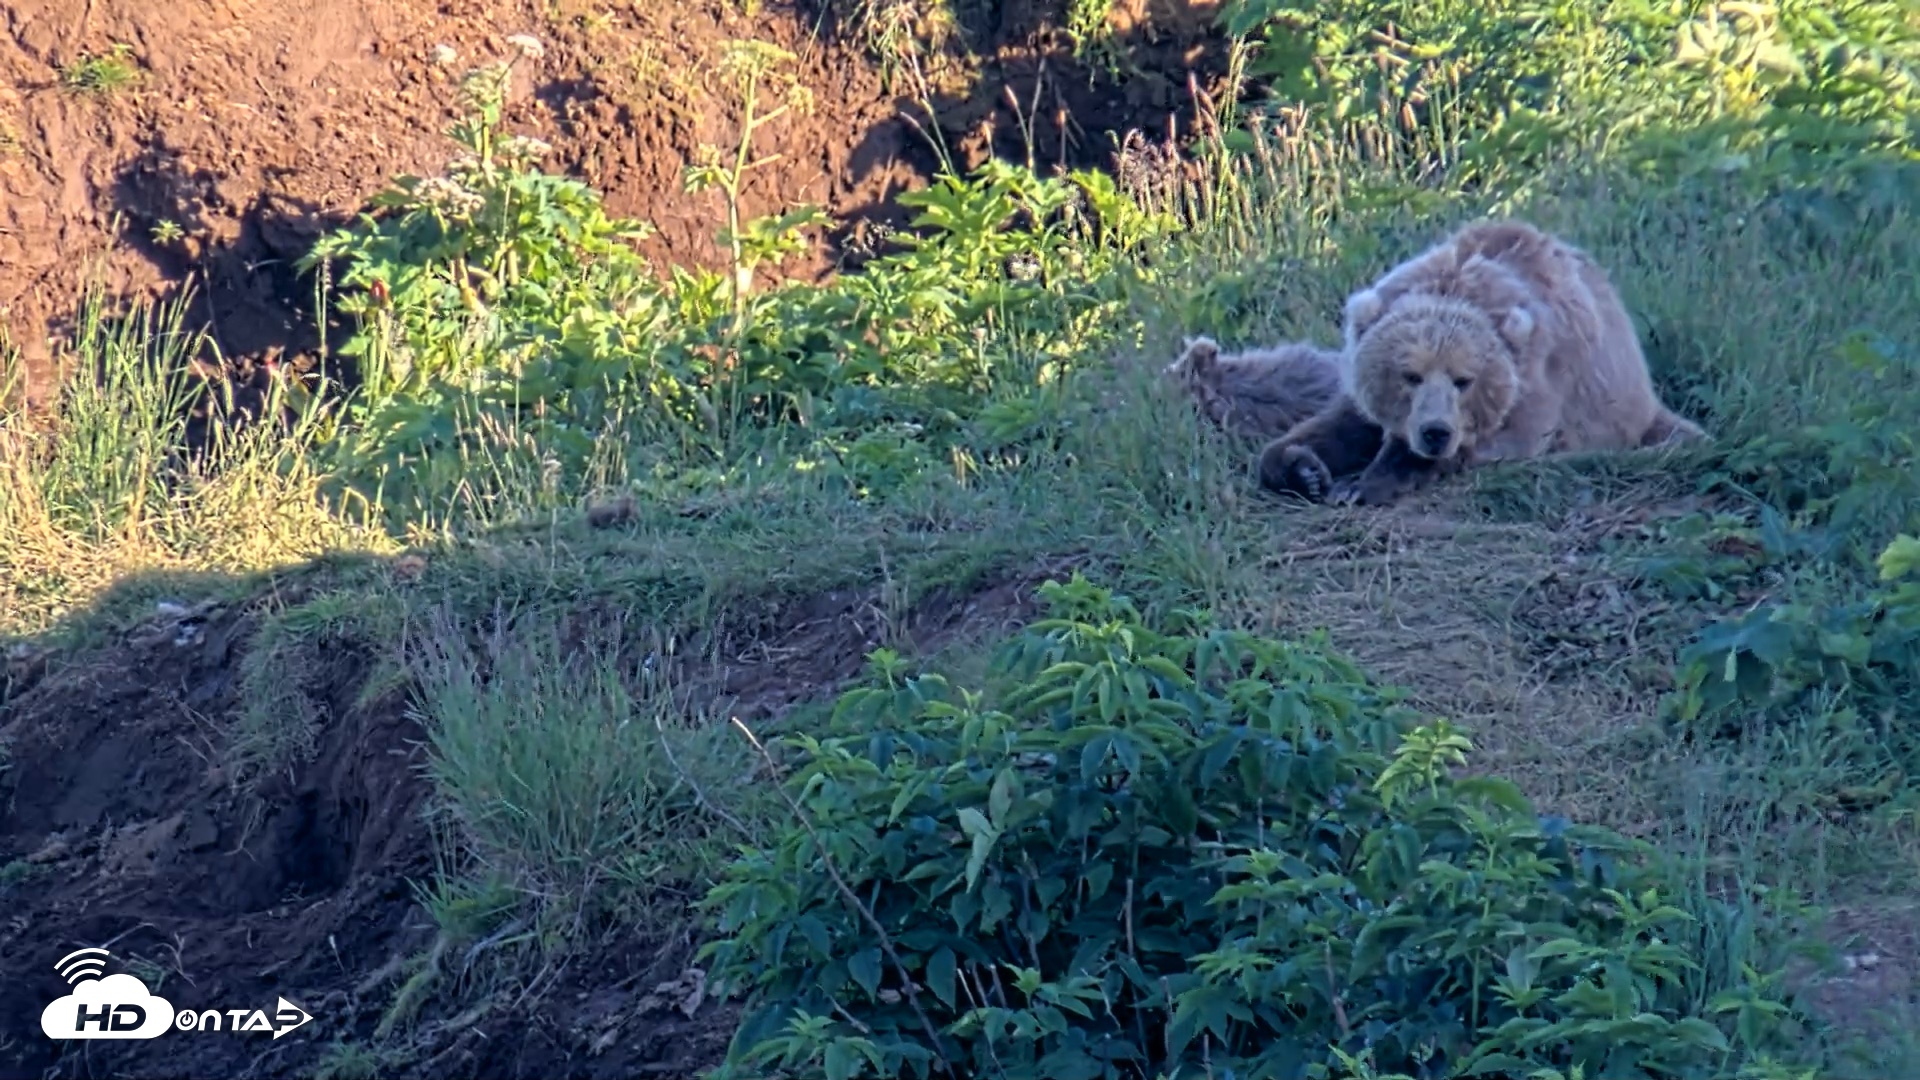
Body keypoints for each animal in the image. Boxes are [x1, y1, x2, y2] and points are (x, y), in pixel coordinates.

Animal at [1257, 219, 1705, 507]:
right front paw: (1306, 470)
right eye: (1410, 376)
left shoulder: (1535, 388)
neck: (1457, 286)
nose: (1435, 432)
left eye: (1464, 380)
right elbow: (1340, 426)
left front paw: (1360, 484)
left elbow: (1493, 444)